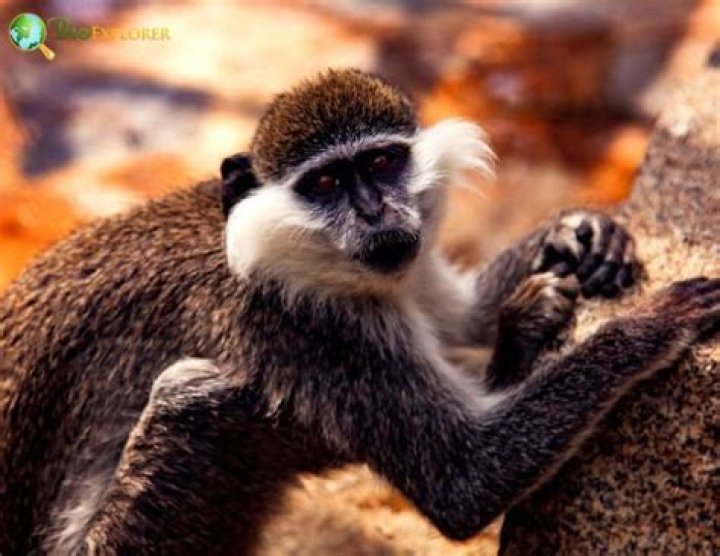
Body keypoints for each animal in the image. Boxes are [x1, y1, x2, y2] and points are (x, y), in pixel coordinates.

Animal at [0, 68, 718, 556]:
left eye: (380, 162)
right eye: (325, 183)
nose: (375, 212)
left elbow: (455, 316)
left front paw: (581, 234)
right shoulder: (309, 330)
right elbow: (465, 481)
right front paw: (653, 322)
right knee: (197, 398)